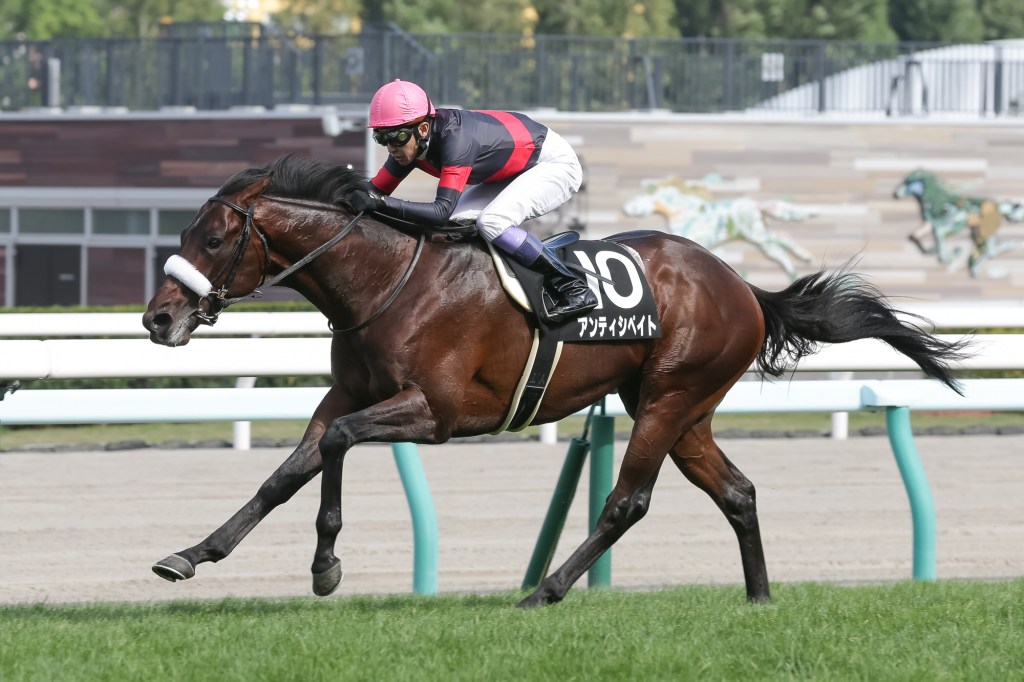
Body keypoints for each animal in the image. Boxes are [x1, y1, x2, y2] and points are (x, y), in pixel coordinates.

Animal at [622, 177, 814, 280]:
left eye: (640, 199)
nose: (627, 208)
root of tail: (756, 205)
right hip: (758, 237)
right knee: (778, 249)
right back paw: (794, 272)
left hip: (757, 233)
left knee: (781, 238)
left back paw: (805, 259)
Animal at [893, 168, 1021, 277]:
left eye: (906, 182)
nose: (896, 194)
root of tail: (997, 205)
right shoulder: (930, 225)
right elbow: (915, 237)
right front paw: (933, 250)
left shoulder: (941, 225)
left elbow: (941, 251)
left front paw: (950, 255)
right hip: (979, 232)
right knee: (991, 249)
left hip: (981, 231)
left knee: (991, 251)